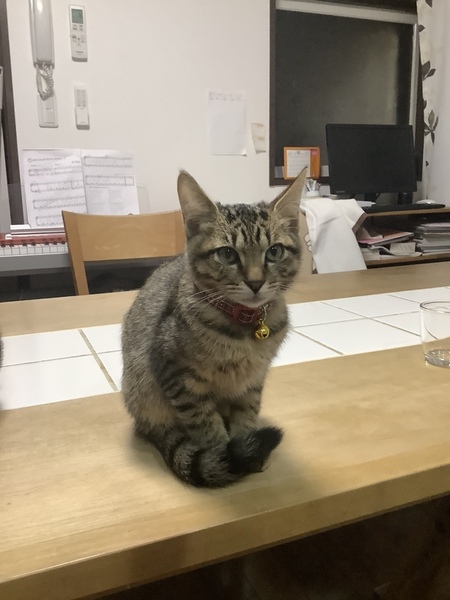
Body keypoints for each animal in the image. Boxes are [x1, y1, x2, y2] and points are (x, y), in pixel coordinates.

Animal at [121, 169, 306, 487]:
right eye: (228, 254)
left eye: (274, 251)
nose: (255, 282)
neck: (245, 328)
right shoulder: (178, 376)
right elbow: (205, 424)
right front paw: (223, 454)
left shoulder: (253, 380)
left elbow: (247, 412)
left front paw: (246, 443)